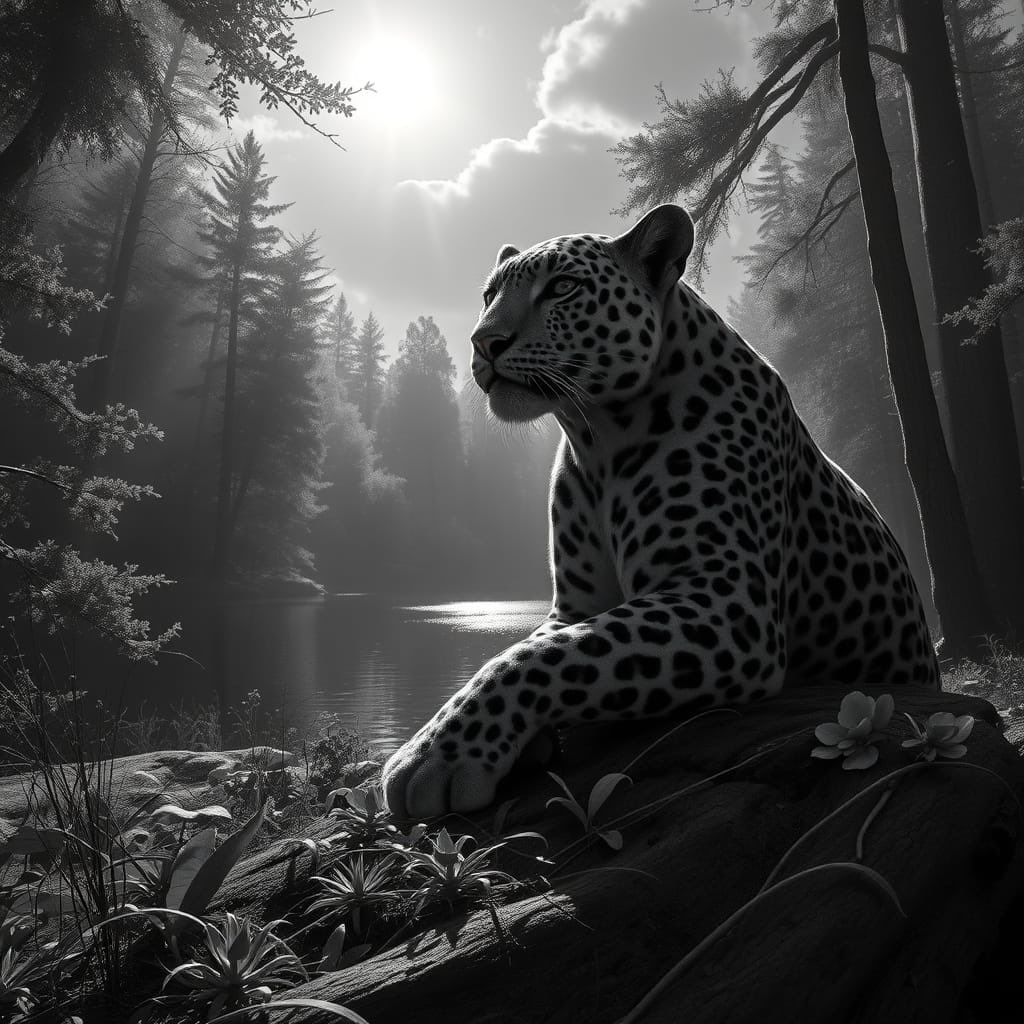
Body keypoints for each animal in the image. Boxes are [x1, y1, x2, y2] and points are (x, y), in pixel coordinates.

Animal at [382, 203, 939, 820]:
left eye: (562, 288)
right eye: (488, 295)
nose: (484, 342)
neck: (596, 439)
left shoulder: (727, 601)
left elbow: (538, 659)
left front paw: (436, 757)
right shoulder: (574, 606)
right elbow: (526, 648)